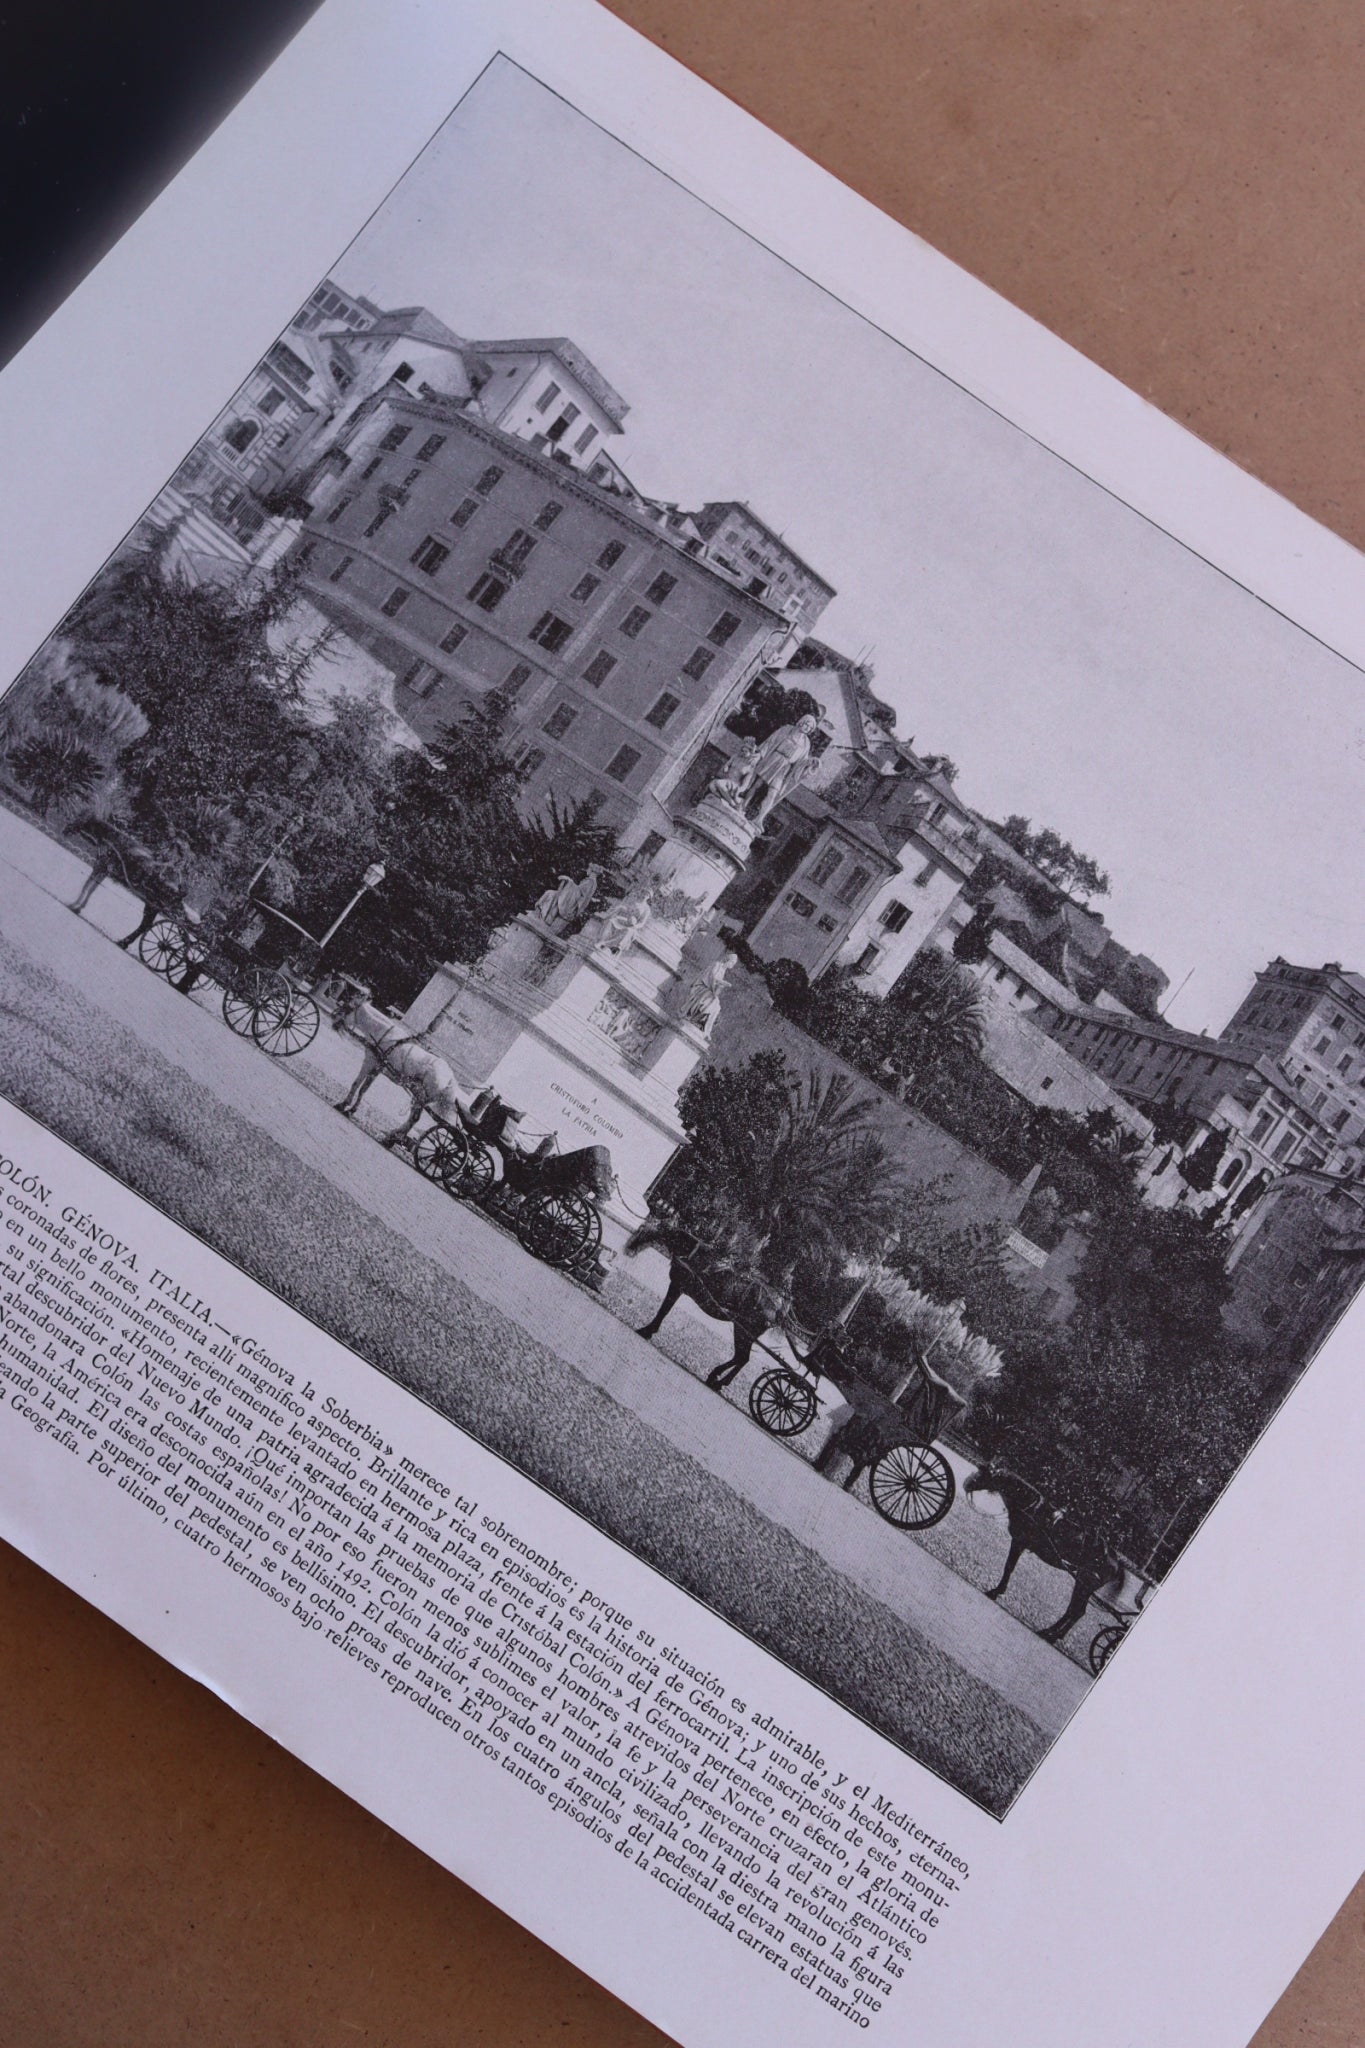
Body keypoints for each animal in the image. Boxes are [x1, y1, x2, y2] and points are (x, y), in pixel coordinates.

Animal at [626, 1212, 794, 1392]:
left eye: (651, 1226)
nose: (630, 1246)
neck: (690, 1252)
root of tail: (778, 1307)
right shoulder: (678, 1287)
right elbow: (664, 1310)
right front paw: (649, 1330)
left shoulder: (677, 1286)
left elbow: (663, 1311)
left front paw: (647, 1330)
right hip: (744, 1332)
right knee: (741, 1358)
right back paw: (717, 1379)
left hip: (743, 1332)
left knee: (742, 1358)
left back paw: (717, 1379)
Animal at [961, 1474, 1121, 1646]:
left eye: (988, 1474)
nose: (966, 1483)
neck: (1032, 1509)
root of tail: (1115, 1561)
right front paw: (997, 1590)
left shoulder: (1018, 1542)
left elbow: (1009, 1567)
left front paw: (995, 1591)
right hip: (1083, 1585)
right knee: (1076, 1611)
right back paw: (1053, 1634)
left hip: (1084, 1584)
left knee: (1076, 1611)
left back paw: (1050, 1635)